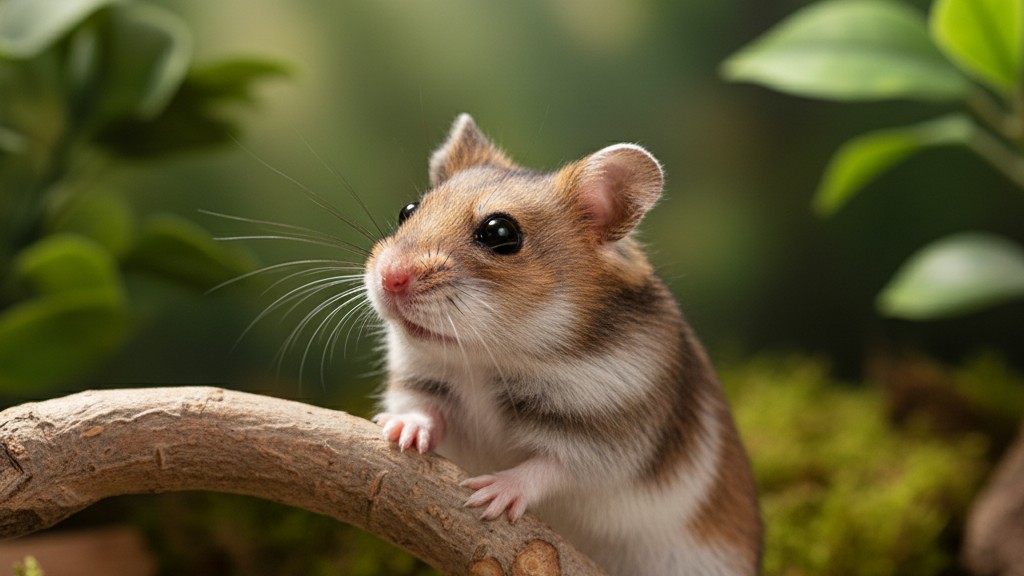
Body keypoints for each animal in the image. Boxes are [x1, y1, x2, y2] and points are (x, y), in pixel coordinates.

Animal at [366, 114, 763, 575]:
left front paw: (490, 495)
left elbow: (549, 468)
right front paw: (397, 431)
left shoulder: (606, 442)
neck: (488, 355)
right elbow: (422, 410)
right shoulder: (419, 382)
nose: (390, 277)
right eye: (408, 210)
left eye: (500, 232)